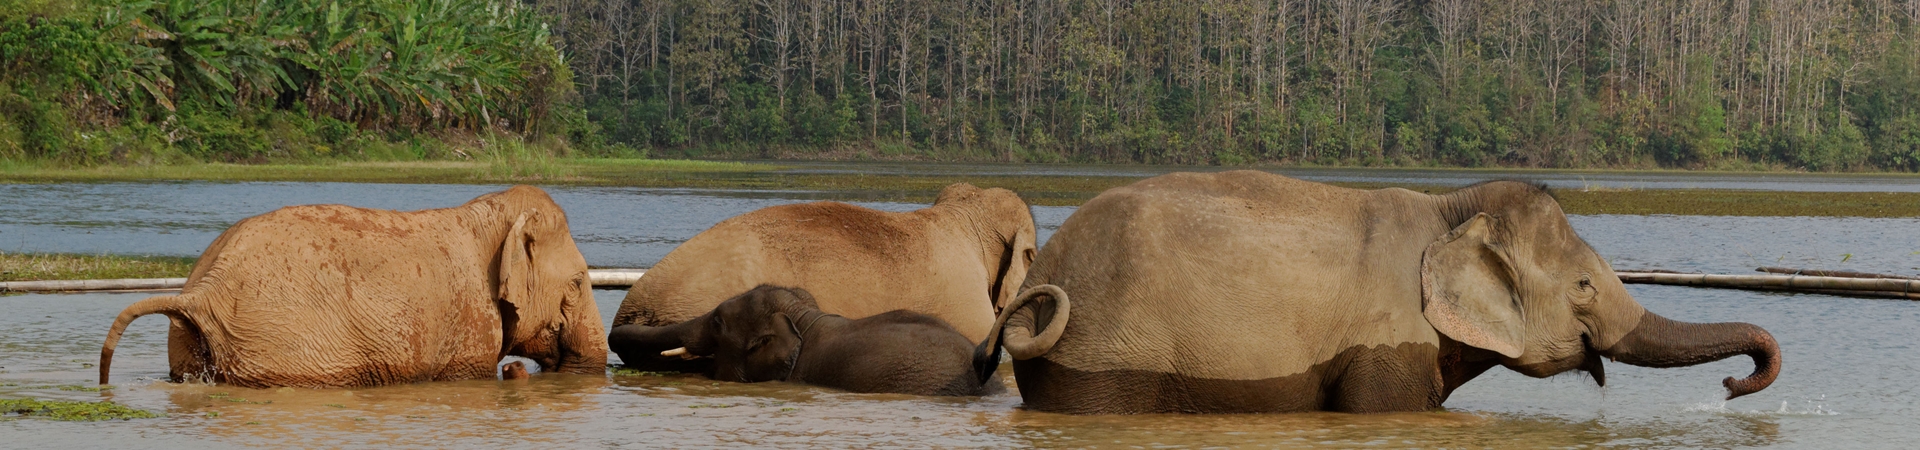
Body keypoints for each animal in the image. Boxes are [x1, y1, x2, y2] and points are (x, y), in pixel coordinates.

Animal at [99, 186, 608, 388]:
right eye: (578, 282)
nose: (522, 369)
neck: (490, 212)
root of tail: (205, 290)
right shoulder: (469, 327)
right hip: (281, 347)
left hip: (192, 342)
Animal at [996, 171, 1781, 414]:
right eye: (1585, 286)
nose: (1733, 384)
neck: (1451, 208)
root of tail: (1039, 277)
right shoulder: (1384, 342)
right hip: (1103, 361)